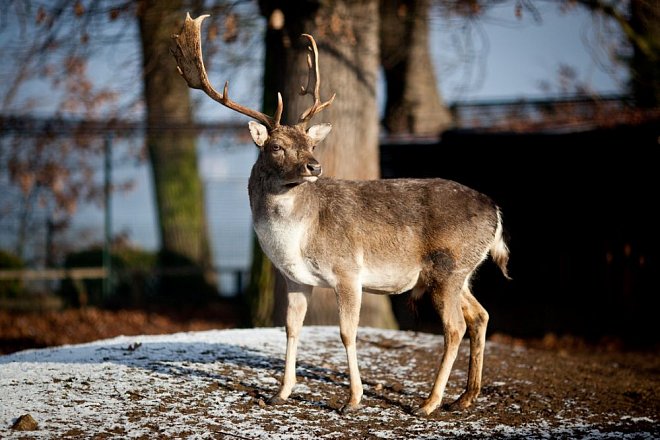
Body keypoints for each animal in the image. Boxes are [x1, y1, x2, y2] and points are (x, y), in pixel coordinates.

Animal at [171, 11, 510, 416]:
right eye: (277, 146)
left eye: (311, 144)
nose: (314, 166)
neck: (297, 238)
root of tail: (496, 212)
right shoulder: (294, 278)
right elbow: (291, 328)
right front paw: (280, 392)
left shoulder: (348, 270)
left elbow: (347, 333)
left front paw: (353, 399)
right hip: (461, 273)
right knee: (481, 315)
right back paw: (465, 398)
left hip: (449, 267)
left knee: (455, 327)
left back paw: (429, 403)